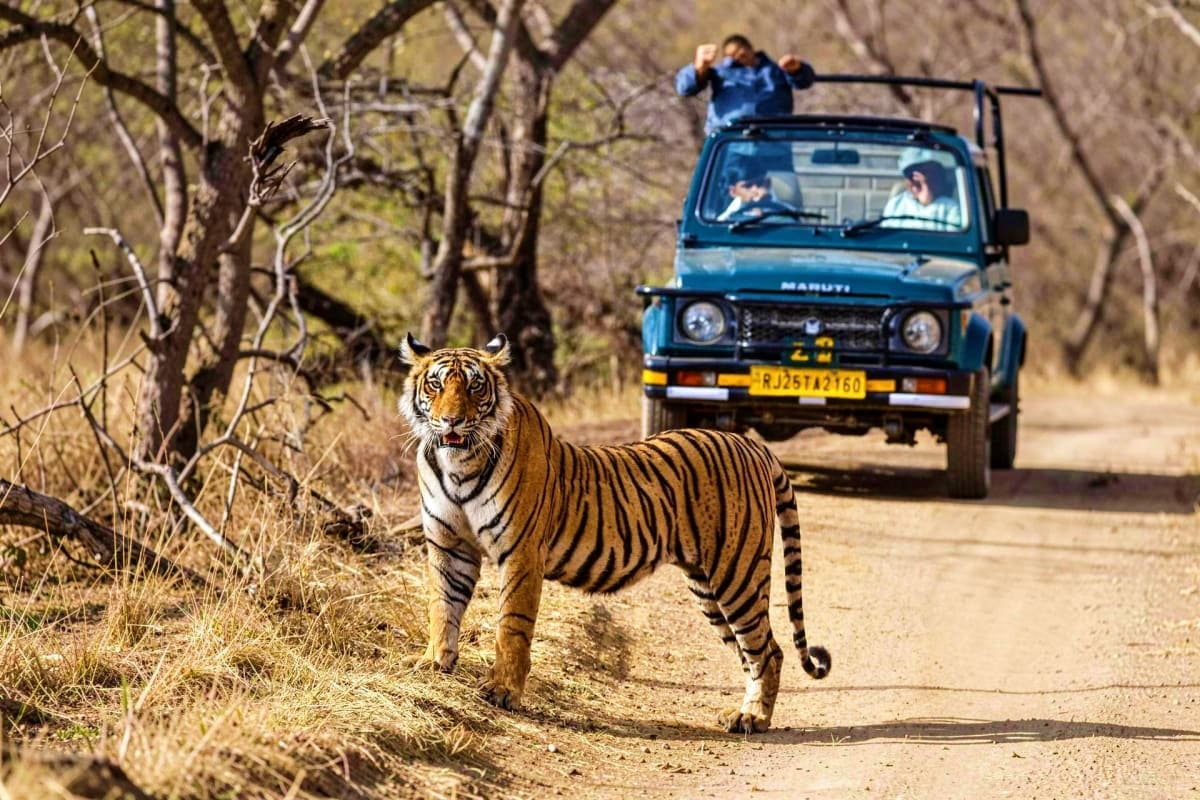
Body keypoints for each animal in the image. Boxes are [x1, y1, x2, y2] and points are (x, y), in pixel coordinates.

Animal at [398, 333, 830, 733]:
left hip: (738, 574)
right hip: (708, 587)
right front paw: (433, 662)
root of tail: (752, 445)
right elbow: (443, 606)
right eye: (436, 385)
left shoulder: (521, 552)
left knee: (768, 651)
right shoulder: (449, 546)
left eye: (475, 386)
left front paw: (502, 691)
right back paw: (744, 712)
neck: (458, 463)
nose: (452, 420)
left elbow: (511, 625)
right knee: (748, 652)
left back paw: (752, 717)